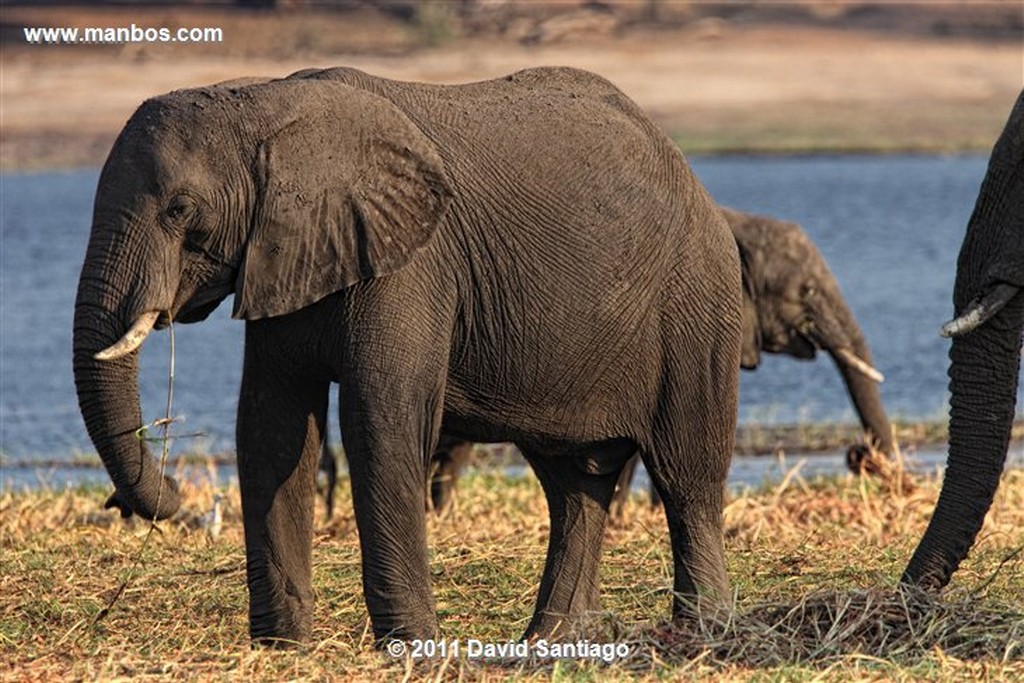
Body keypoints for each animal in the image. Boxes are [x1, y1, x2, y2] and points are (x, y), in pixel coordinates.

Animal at [74, 68, 745, 647]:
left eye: (179, 210)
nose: (173, 492)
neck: (265, 102)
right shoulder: (285, 256)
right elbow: (271, 425)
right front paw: (282, 648)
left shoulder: (411, 263)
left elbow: (380, 422)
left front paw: (413, 648)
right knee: (573, 486)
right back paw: (550, 643)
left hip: (696, 304)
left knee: (686, 474)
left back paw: (702, 633)